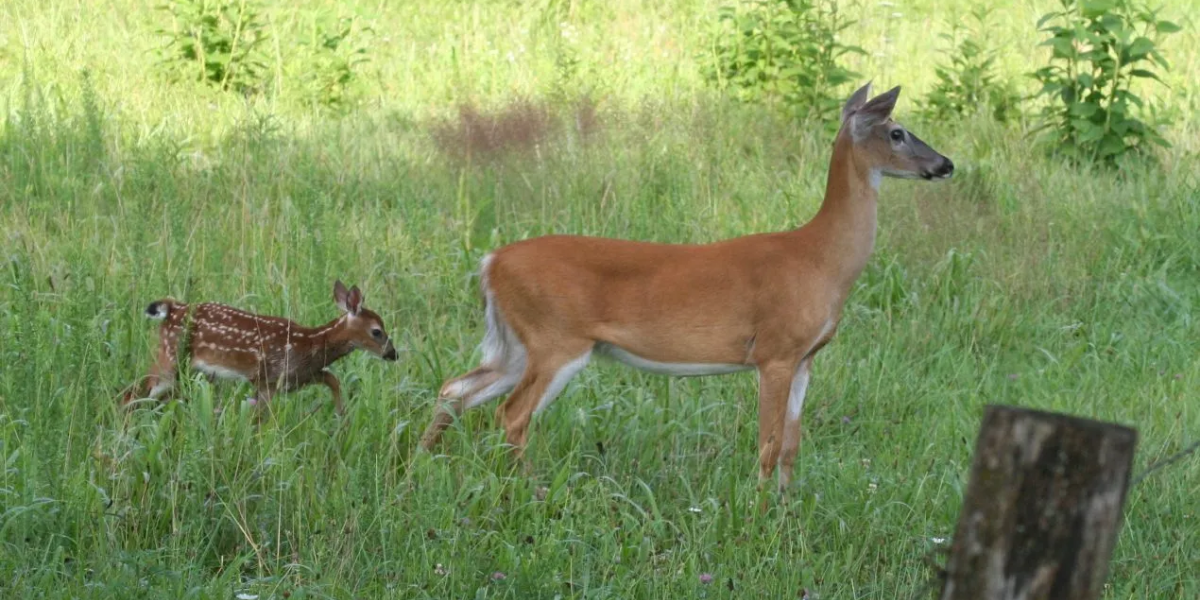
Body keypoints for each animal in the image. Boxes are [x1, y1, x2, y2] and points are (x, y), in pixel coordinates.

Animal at [124, 280, 400, 417]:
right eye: (377, 331)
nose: (393, 354)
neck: (310, 342)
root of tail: (172, 310)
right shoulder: (267, 378)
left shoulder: (297, 377)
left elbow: (332, 379)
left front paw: (342, 414)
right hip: (170, 358)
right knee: (132, 393)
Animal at [422, 83, 955, 487]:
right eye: (897, 132)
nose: (946, 164)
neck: (821, 259)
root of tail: (490, 262)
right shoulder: (775, 351)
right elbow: (768, 444)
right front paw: (758, 519)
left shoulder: (806, 358)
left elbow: (791, 446)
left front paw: (788, 514)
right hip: (555, 338)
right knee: (511, 414)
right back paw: (529, 489)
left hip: (517, 343)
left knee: (456, 388)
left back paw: (420, 465)